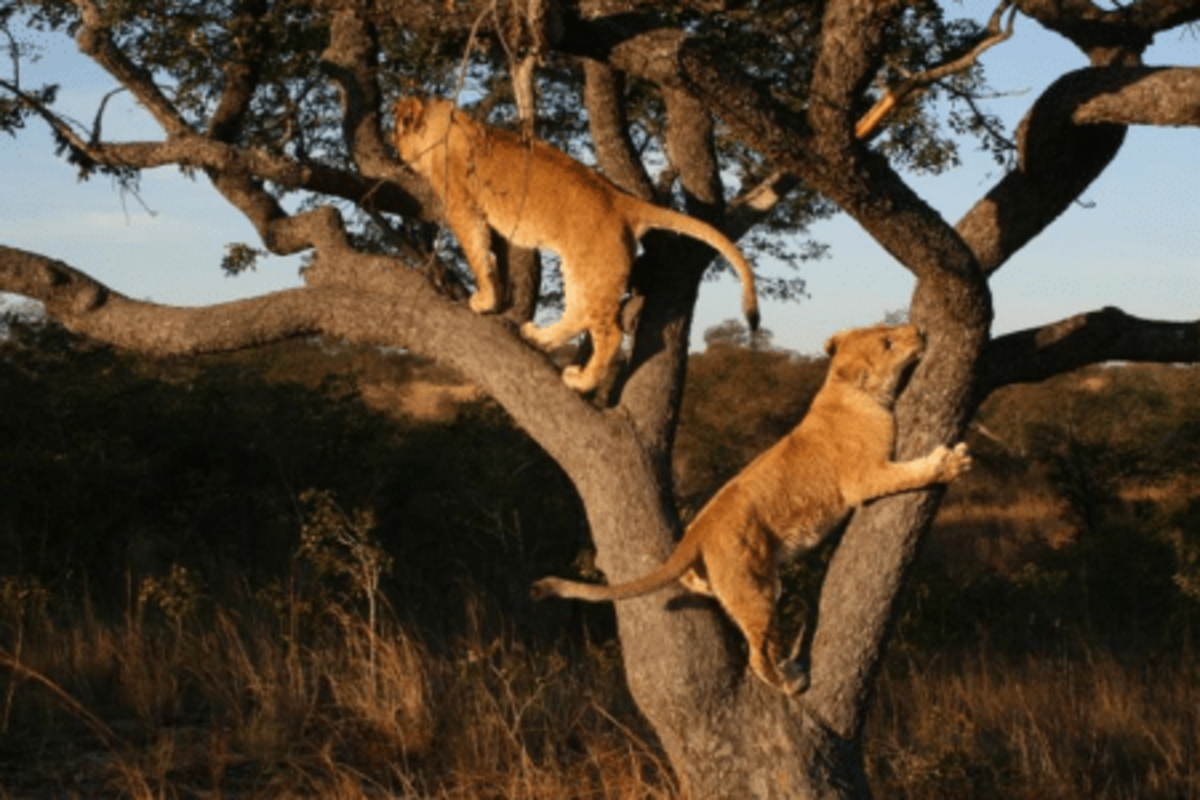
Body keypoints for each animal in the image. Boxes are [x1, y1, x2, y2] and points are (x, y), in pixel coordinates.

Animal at [393, 96, 759, 393]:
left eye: (396, 133)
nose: (396, 152)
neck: (447, 125)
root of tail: (623, 201)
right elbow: (494, 256)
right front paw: (497, 295)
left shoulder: (463, 207)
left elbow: (476, 252)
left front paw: (484, 300)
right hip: (581, 267)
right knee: (579, 312)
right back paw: (539, 337)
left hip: (595, 270)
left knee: (609, 334)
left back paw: (582, 382)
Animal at [531, 323, 972, 693]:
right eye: (889, 342)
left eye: (888, 330)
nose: (920, 330)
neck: (843, 388)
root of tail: (699, 530)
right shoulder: (863, 477)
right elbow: (910, 474)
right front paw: (950, 462)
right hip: (755, 583)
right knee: (758, 656)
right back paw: (790, 682)